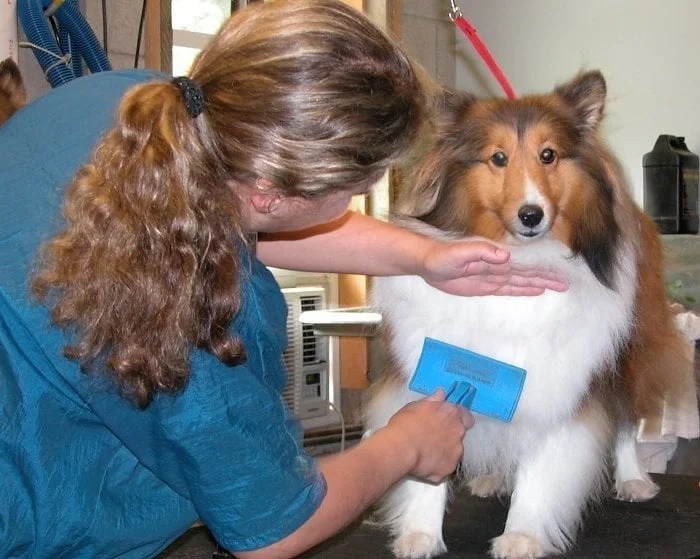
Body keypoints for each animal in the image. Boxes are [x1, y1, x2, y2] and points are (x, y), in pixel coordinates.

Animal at [365, 70, 693, 559]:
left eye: (548, 155)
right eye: (498, 158)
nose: (531, 215)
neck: (519, 258)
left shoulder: (559, 377)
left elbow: (542, 467)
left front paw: (522, 535)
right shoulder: (429, 367)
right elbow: (429, 460)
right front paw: (420, 534)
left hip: (626, 354)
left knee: (624, 421)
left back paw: (634, 480)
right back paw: (493, 477)